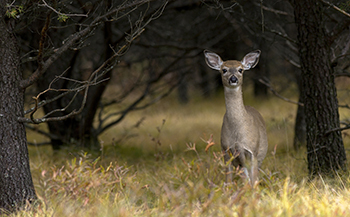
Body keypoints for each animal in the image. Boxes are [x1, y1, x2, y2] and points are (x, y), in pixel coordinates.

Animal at [202, 49, 268, 186]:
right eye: (224, 70)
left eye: (240, 69)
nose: (233, 79)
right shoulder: (225, 149)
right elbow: (228, 180)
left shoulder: (253, 151)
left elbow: (254, 180)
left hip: (260, 154)